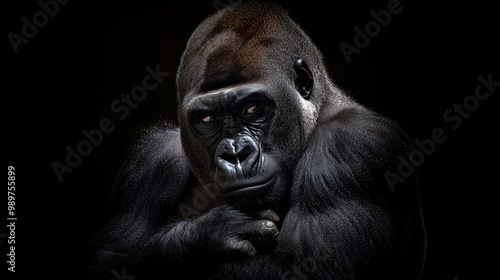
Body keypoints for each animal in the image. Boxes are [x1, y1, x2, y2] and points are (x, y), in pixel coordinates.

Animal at [89, 1, 426, 278]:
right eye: (208, 119)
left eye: (253, 108)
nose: (236, 154)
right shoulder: (153, 160)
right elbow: (112, 259)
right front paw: (202, 236)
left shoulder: (350, 145)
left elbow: (303, 270)